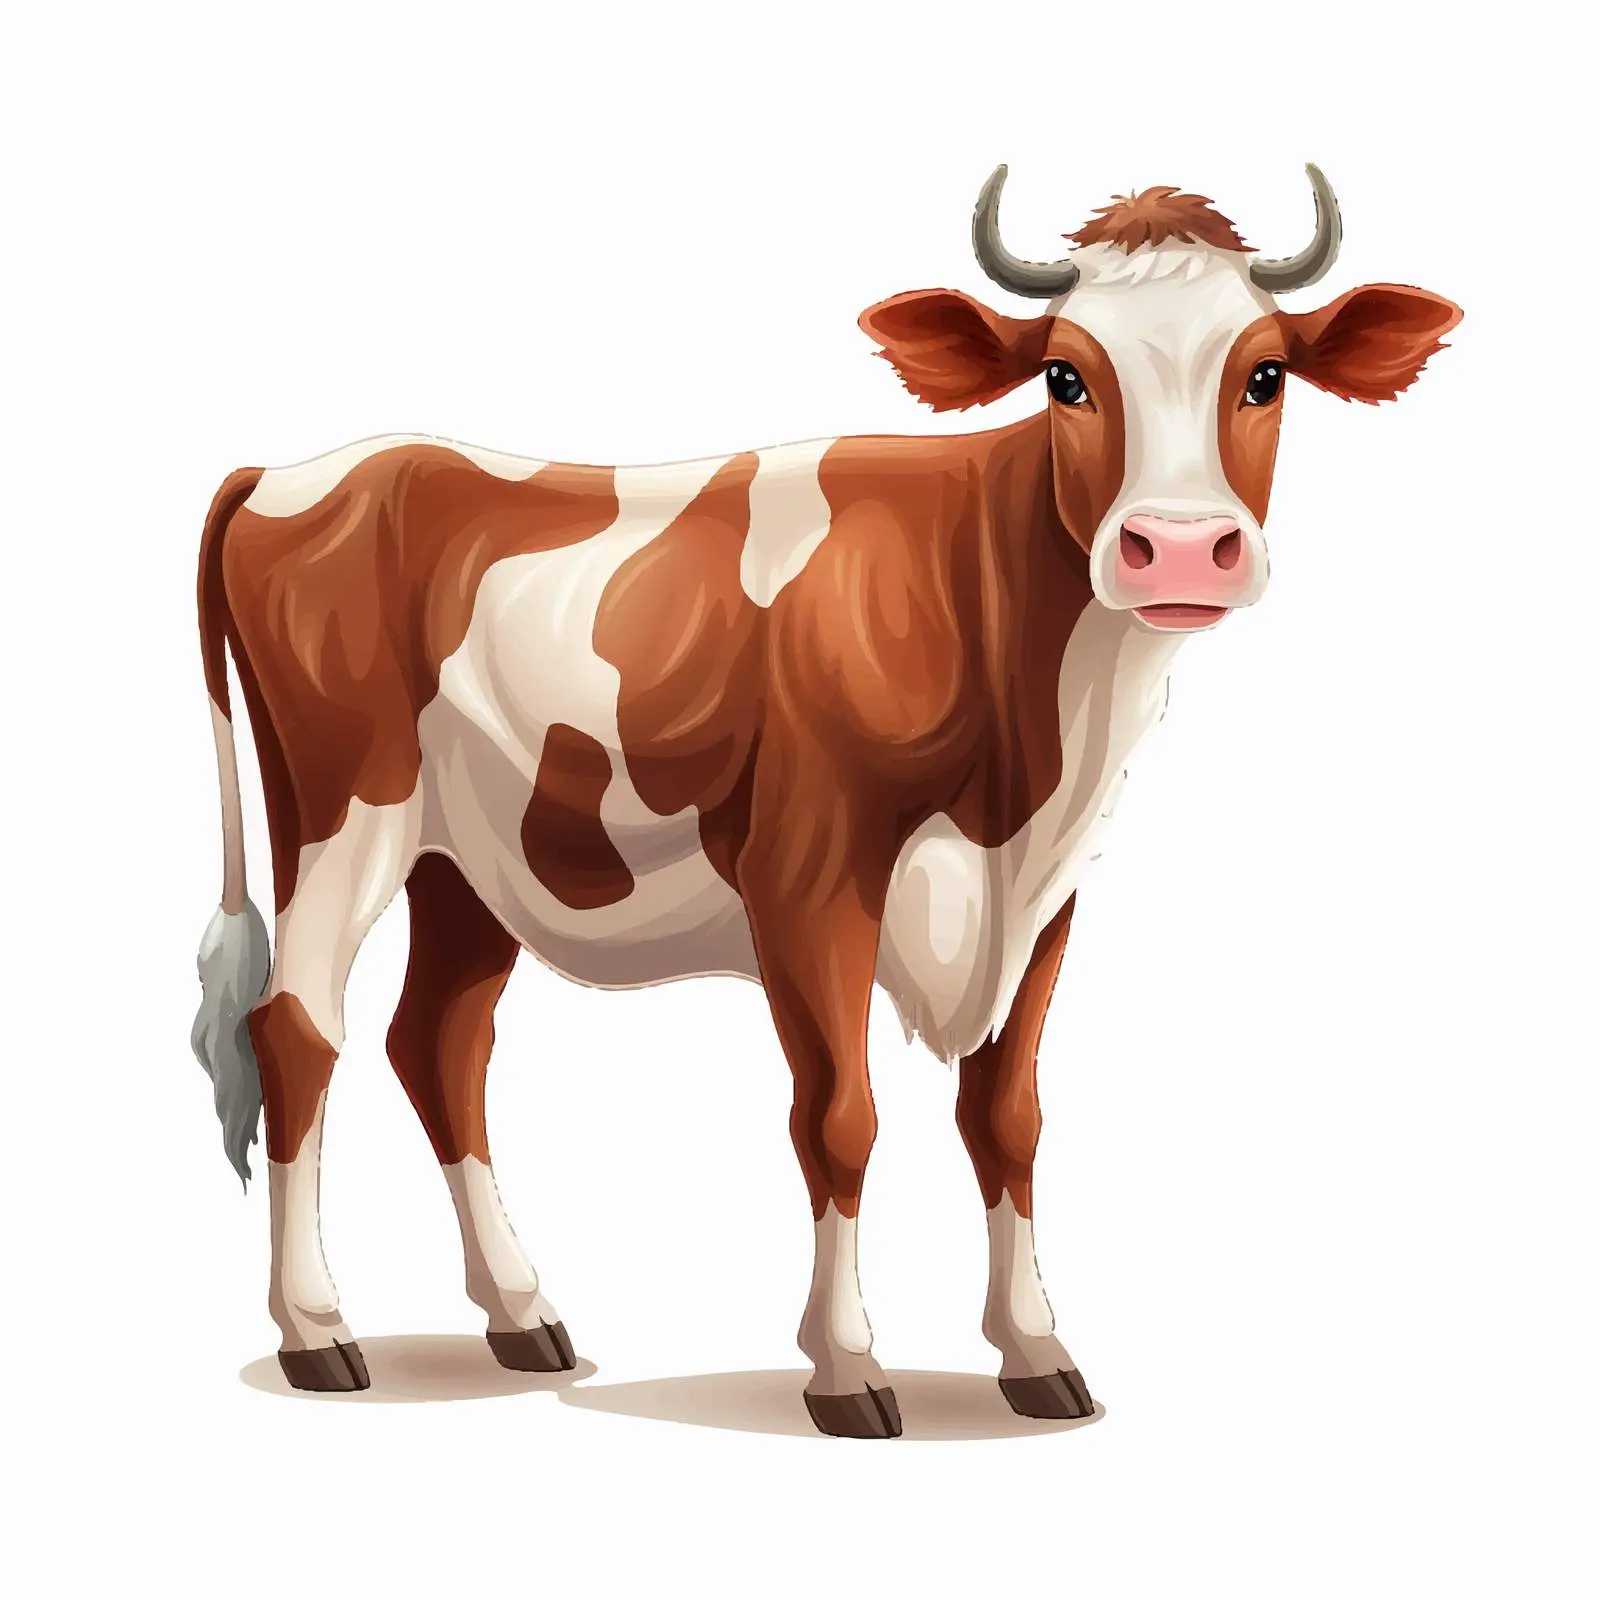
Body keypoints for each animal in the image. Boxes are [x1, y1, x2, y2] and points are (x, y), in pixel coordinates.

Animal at [191, 164, 1460, 1437]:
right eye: (1065, 375)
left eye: (1264, 373)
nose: (1183, 549)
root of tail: (293, 471)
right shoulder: (808, 877)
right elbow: (839, 1115)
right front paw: (848, 1365)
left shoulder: (1044, 899)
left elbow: (1008, 1117)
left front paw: (1034, 1349)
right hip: (344, 812)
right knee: (298, 1029)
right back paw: (318, 1330)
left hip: (471, 857)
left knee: (438, 1042)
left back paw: (520, 1314)